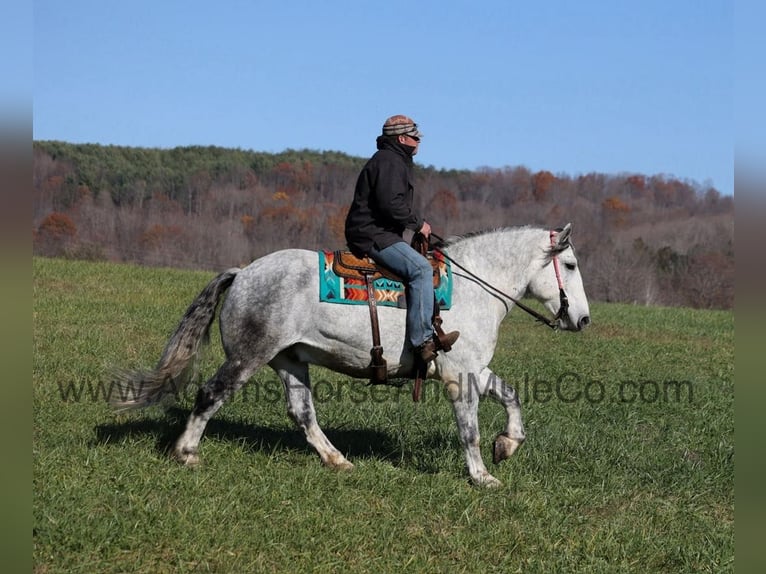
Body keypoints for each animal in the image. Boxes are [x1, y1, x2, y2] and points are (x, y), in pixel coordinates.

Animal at [111, 223, 590, 487]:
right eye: (569, 266)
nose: (583, 320)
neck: (474, 287)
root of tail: (243, 273)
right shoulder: (461, 377)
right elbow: (468, 431)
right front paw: (482, 476)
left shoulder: (472, 369)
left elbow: (511, 396)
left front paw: (507, 444)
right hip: (248, 357)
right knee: (210, 395)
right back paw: (186, 452)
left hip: (290, 361)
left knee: (302, 413)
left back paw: (337, 459)